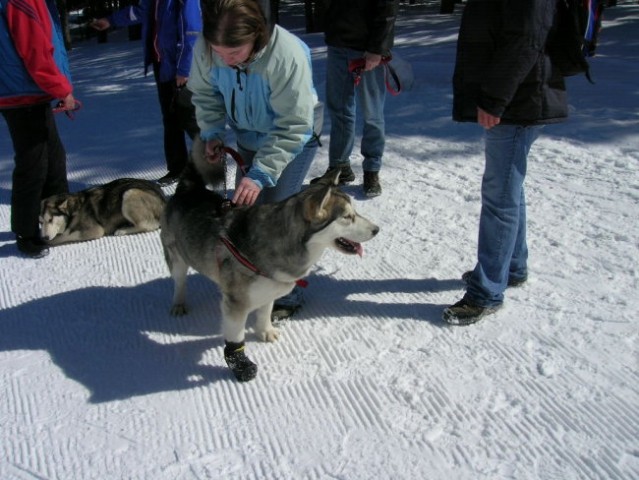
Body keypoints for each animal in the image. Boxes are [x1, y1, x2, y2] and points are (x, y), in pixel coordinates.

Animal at [40, 178, 168, 246]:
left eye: (50, 219)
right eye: (41, 222)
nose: (44, 237)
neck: (73, 210)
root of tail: (163, 199)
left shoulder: (95, 230)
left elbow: (65, 235)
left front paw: (48, 241)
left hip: (129, 194)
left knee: (149, 225)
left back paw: (123, 230)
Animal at [161, 139, 380, 382]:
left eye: (354, 213)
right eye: (347, 217)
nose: (377, 230)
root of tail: (188, 187)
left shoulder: (269, 288)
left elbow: (265, 312)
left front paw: (265, 331)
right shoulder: (236, 305)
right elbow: (235, 337)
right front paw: (240, 363)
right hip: (176, 258)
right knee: (179, 281)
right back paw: (178, 303)